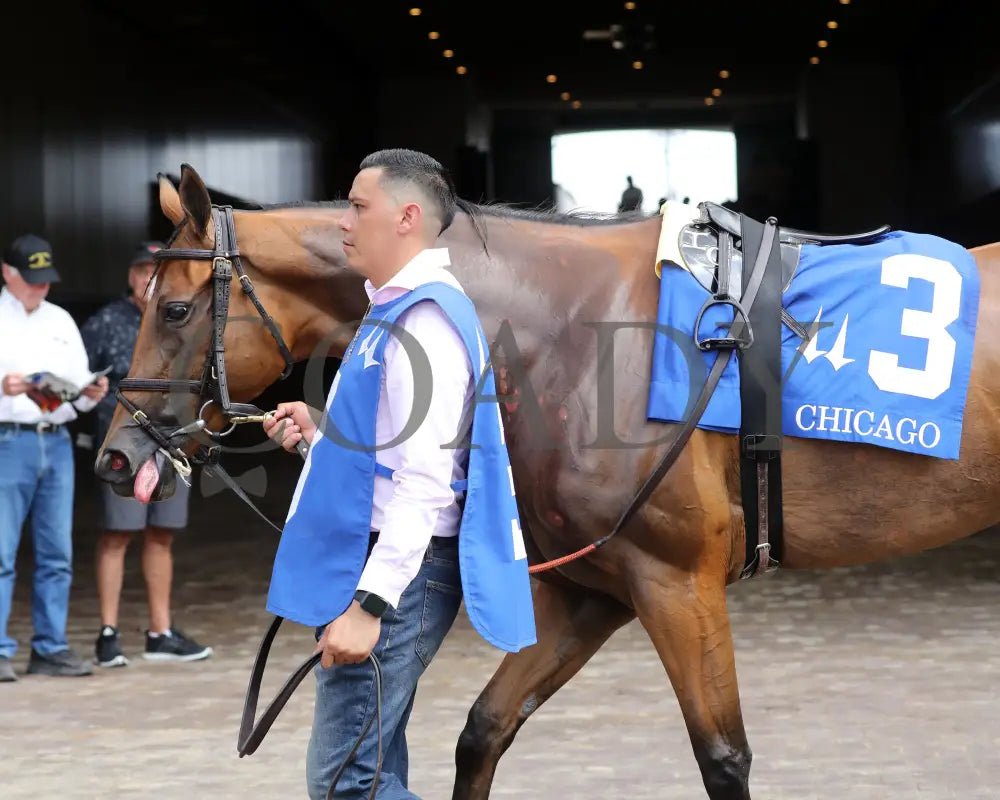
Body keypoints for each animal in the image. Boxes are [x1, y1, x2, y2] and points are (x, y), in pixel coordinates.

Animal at [97, 164, 1000, 800]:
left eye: (172, 309)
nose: (115, 455)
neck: (574, 330)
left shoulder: (677, 581)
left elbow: (723, 759)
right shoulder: (595, 587)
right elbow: (483, 731)